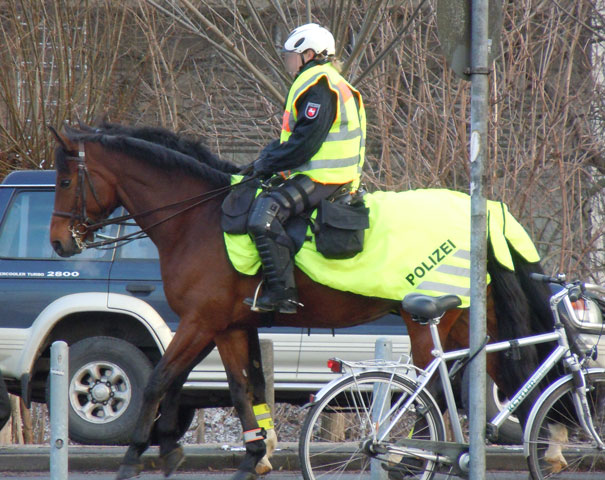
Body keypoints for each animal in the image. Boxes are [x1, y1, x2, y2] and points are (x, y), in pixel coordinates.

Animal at [49, 124, 556, 480]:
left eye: (66, 179)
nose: (58, 242)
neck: (197, 219)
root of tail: (482, 210)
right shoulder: (229, 326)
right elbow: (242, 386)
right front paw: (252, 454)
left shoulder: (200, 321)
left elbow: (159, 379)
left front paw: (136, 455)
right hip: (468, 317)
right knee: (503, 369)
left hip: (427, 319)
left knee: (428, 385)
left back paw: (415, 456)